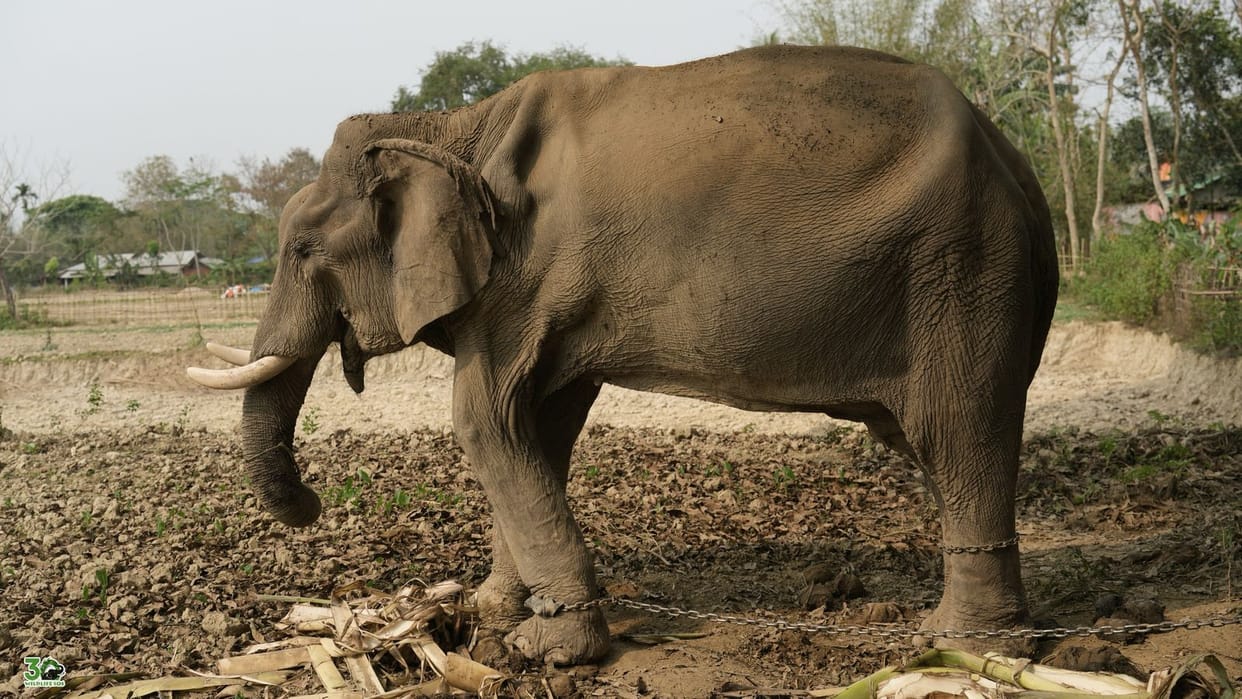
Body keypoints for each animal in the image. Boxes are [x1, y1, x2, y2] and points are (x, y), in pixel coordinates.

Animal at [188, 44, 1058, 665]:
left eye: (302, 249)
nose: (313, 504)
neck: (449, 126)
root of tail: (1015, 158)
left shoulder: (520, 280)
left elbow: (484, 423)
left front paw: (545, 650)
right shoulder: (528, 297)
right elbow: (539, 429)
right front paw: (488, 612)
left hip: (963, 269)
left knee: (958, 431)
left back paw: (960, 647)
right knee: (945, 445)